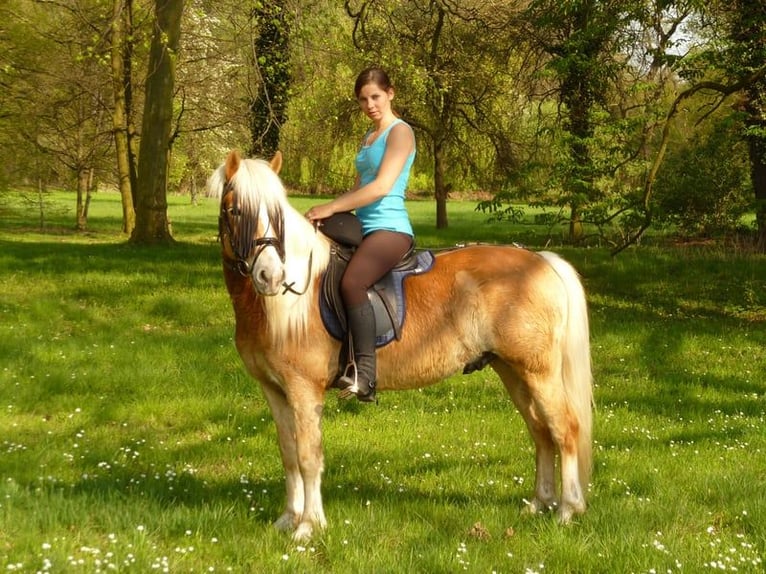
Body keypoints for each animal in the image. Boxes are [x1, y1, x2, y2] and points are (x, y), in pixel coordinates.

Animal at [207, 150, 593, 541]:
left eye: (278, 215)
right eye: (234, 210)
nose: (270, 277)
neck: (285, 303)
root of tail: (541, 261)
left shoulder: (304, 390)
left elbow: (308, 456)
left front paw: (308, 527)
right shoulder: (275, 390)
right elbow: (288, 453)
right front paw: (288, 520)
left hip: (538, 372)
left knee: (565, 429)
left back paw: (567, 510)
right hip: (512, 370)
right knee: (541, 432)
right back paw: (539, 504)